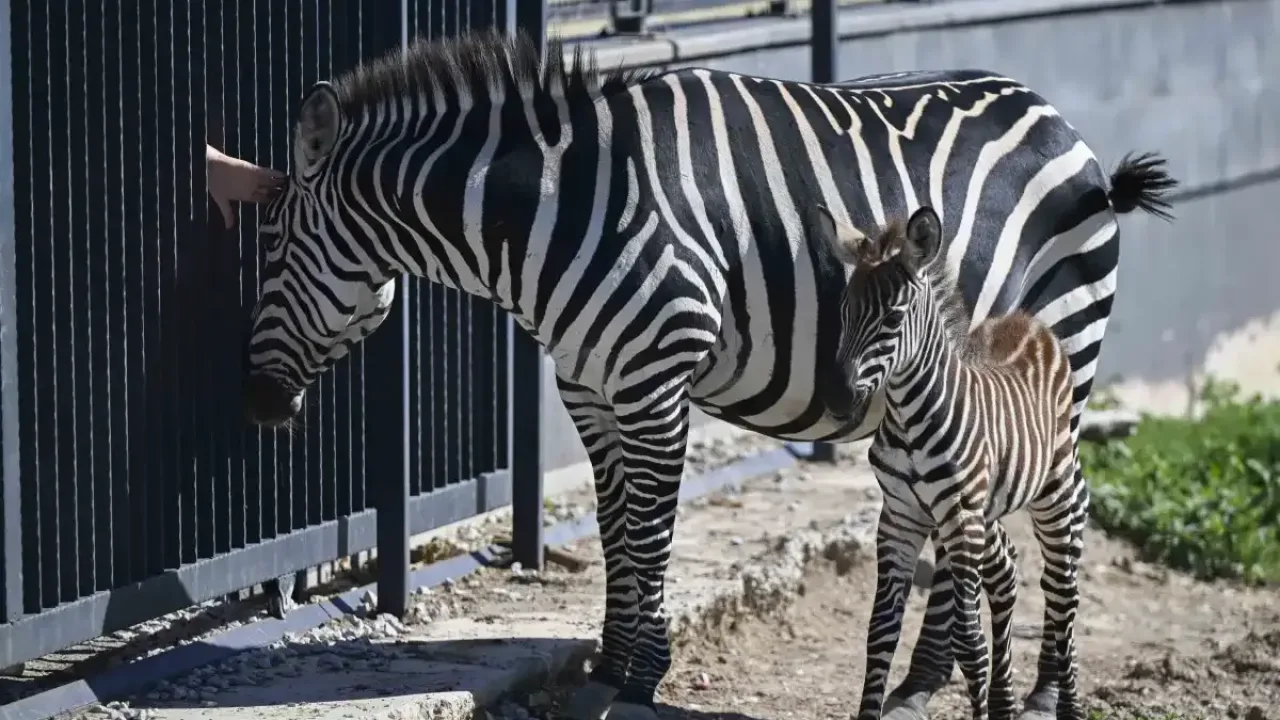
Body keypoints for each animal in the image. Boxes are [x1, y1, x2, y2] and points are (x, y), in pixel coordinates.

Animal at [817, 202, 1132, 720]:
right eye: (844, 311)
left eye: (893, 318)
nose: (839, 400)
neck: (908, 419)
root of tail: (1027, 320)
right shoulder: (900, 515)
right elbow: (880, 629)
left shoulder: (960, 515)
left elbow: (968, 641)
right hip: (986, 510)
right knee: (1007, 570)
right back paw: (1006, 702)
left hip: (1052, 489)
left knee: (1063, 592)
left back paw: (1065, 703)